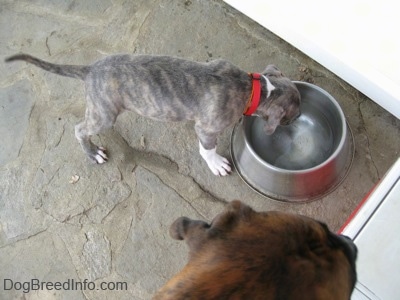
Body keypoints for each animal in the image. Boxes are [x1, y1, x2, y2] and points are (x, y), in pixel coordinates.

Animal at [5, 54, 300, 176]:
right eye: (294, 114)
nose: (297, 121)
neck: (256, 89)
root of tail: (90, 70)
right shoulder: (206, 128)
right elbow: (207, 149)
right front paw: (216, 163)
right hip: (105, 114)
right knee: (80, 130)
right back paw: (93, 153)